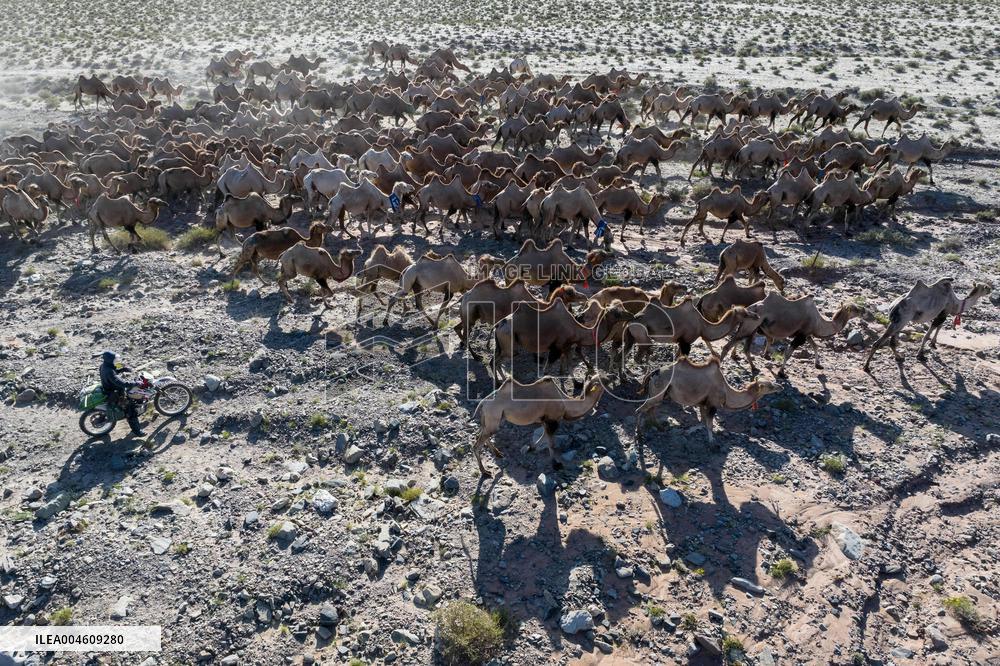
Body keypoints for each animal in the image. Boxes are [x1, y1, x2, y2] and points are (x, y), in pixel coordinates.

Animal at [473, 374, 604, 476]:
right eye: (604, 381)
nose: (613, 376)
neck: (565, 403)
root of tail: (483, 403)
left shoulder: (545, 420)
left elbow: (544, 436)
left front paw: (531, 448)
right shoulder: (552, 420)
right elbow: (551, 443)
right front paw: (556, 465)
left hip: (492, 419)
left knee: (482, 434)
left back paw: (498, 454)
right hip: (493, 416)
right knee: (477, 445)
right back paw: (485, 471)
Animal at [635, 356, 780, 443]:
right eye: (770, 386)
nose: (780, 386)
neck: (727, 391)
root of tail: (654, 372)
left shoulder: (702, 403)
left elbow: (703, 422)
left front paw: (692, 431)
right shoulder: (713, 404)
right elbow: (709, 424)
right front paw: (712, 443)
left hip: (659, 393)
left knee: (651, 408)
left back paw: (659, 428)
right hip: (659, 389)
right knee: (642, 408)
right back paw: (640, 435)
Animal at [722, 293, 864, 376]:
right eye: (855, 309)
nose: (863, 310)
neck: (819, 321)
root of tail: (749, 309)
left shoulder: (806, 334)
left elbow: (815, 346)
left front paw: (818, 365)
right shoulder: (801, 336)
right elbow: (788, 353)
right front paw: (781, 372)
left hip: (750, 326)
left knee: (740, 341)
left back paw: (738, 358)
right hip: (752, 325)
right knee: (733, 344)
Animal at [863, 280, 992, 371]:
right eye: (985, 287)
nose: (991, 289)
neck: (956, 303)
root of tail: (893, 305)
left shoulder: (941, 313)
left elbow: (939, 327)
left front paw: (933, 344)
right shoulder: (943, 312)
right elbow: (929, 333)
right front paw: (920, 355)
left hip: (899, 321)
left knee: (892, 341)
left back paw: (899, 357)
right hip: (902, 319)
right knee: (878, 342)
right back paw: (867, 367)